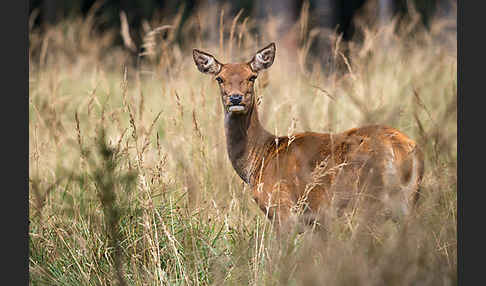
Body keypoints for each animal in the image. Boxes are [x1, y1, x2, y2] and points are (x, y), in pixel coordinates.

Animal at [192, 42, 424, 229]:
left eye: (252, 77)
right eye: (220, 78)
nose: (235, 98)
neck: (259, 158)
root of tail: (404, 149)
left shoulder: (282, 209)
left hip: (369, 202)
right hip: (408, 202)